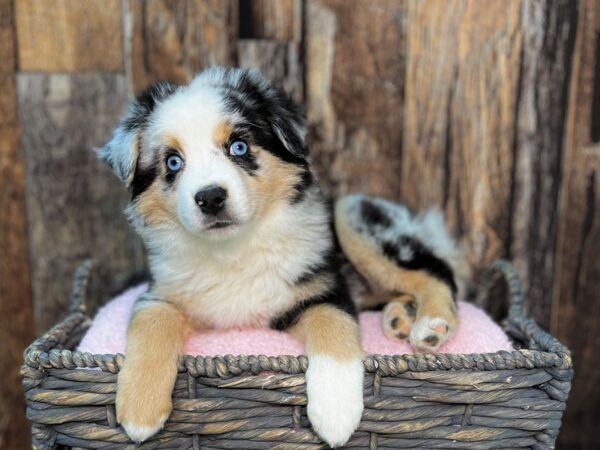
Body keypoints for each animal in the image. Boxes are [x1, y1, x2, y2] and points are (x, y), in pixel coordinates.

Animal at [99, 67, 464, 446]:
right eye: (172, 162)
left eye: (239, 146)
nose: (210, 197)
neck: (234, 249)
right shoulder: (161, 292)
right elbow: (150, 322)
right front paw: (139, 409)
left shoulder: (325, 291)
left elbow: (333, 327)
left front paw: (336, 412)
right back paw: (399, 317)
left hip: (352, 215)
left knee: (437, 271)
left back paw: (432, 324)